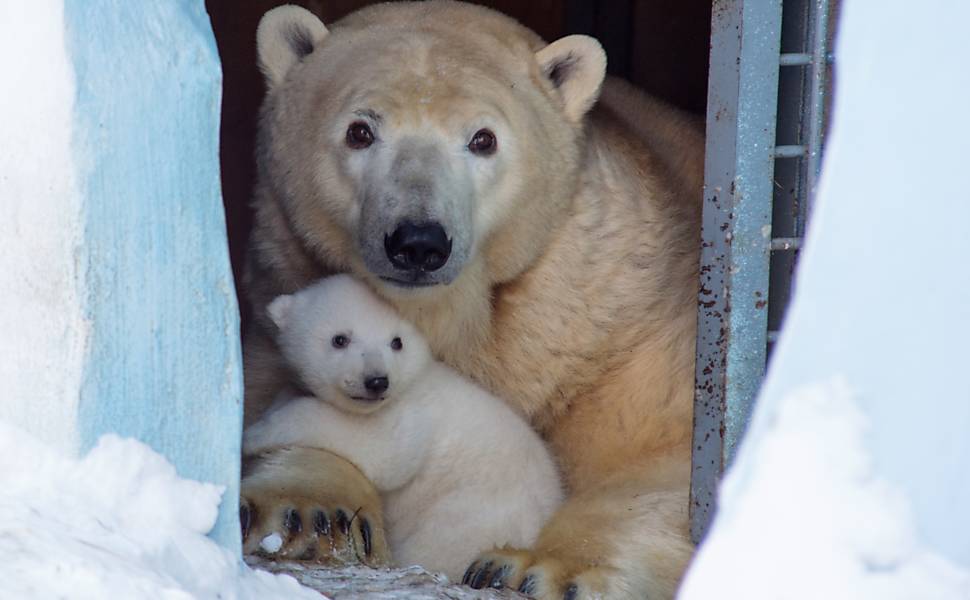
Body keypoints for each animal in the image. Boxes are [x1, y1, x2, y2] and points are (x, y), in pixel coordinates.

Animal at [241, 274, 560, 580]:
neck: (412, 381)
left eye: (397, 341)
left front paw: (254, 434)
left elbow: (381, 452)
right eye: (339, 339)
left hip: (471, 515)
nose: (376, 381)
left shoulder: (413, 416)